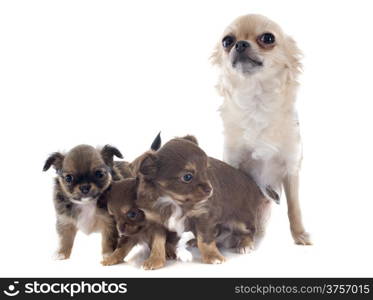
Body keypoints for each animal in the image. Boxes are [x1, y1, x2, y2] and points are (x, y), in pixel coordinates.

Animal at [137, 137, 268, 264]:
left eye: (206, 171)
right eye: (187, 177)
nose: (210, 190)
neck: (173, 201)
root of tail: (253, 184)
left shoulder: (204, 216)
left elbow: (206, 239)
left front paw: (213, 256)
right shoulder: (155, 222)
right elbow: (157, 242)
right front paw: (155, 260)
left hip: (241, 219)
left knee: (250, 230)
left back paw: (245, 244)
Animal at [211, 14, 310, 245]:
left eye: (267, 38)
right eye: (227, 41)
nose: (240, 44)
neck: (257, 101)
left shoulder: (291, 167)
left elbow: (294, 207)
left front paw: (299, 235)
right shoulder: (233, 162)